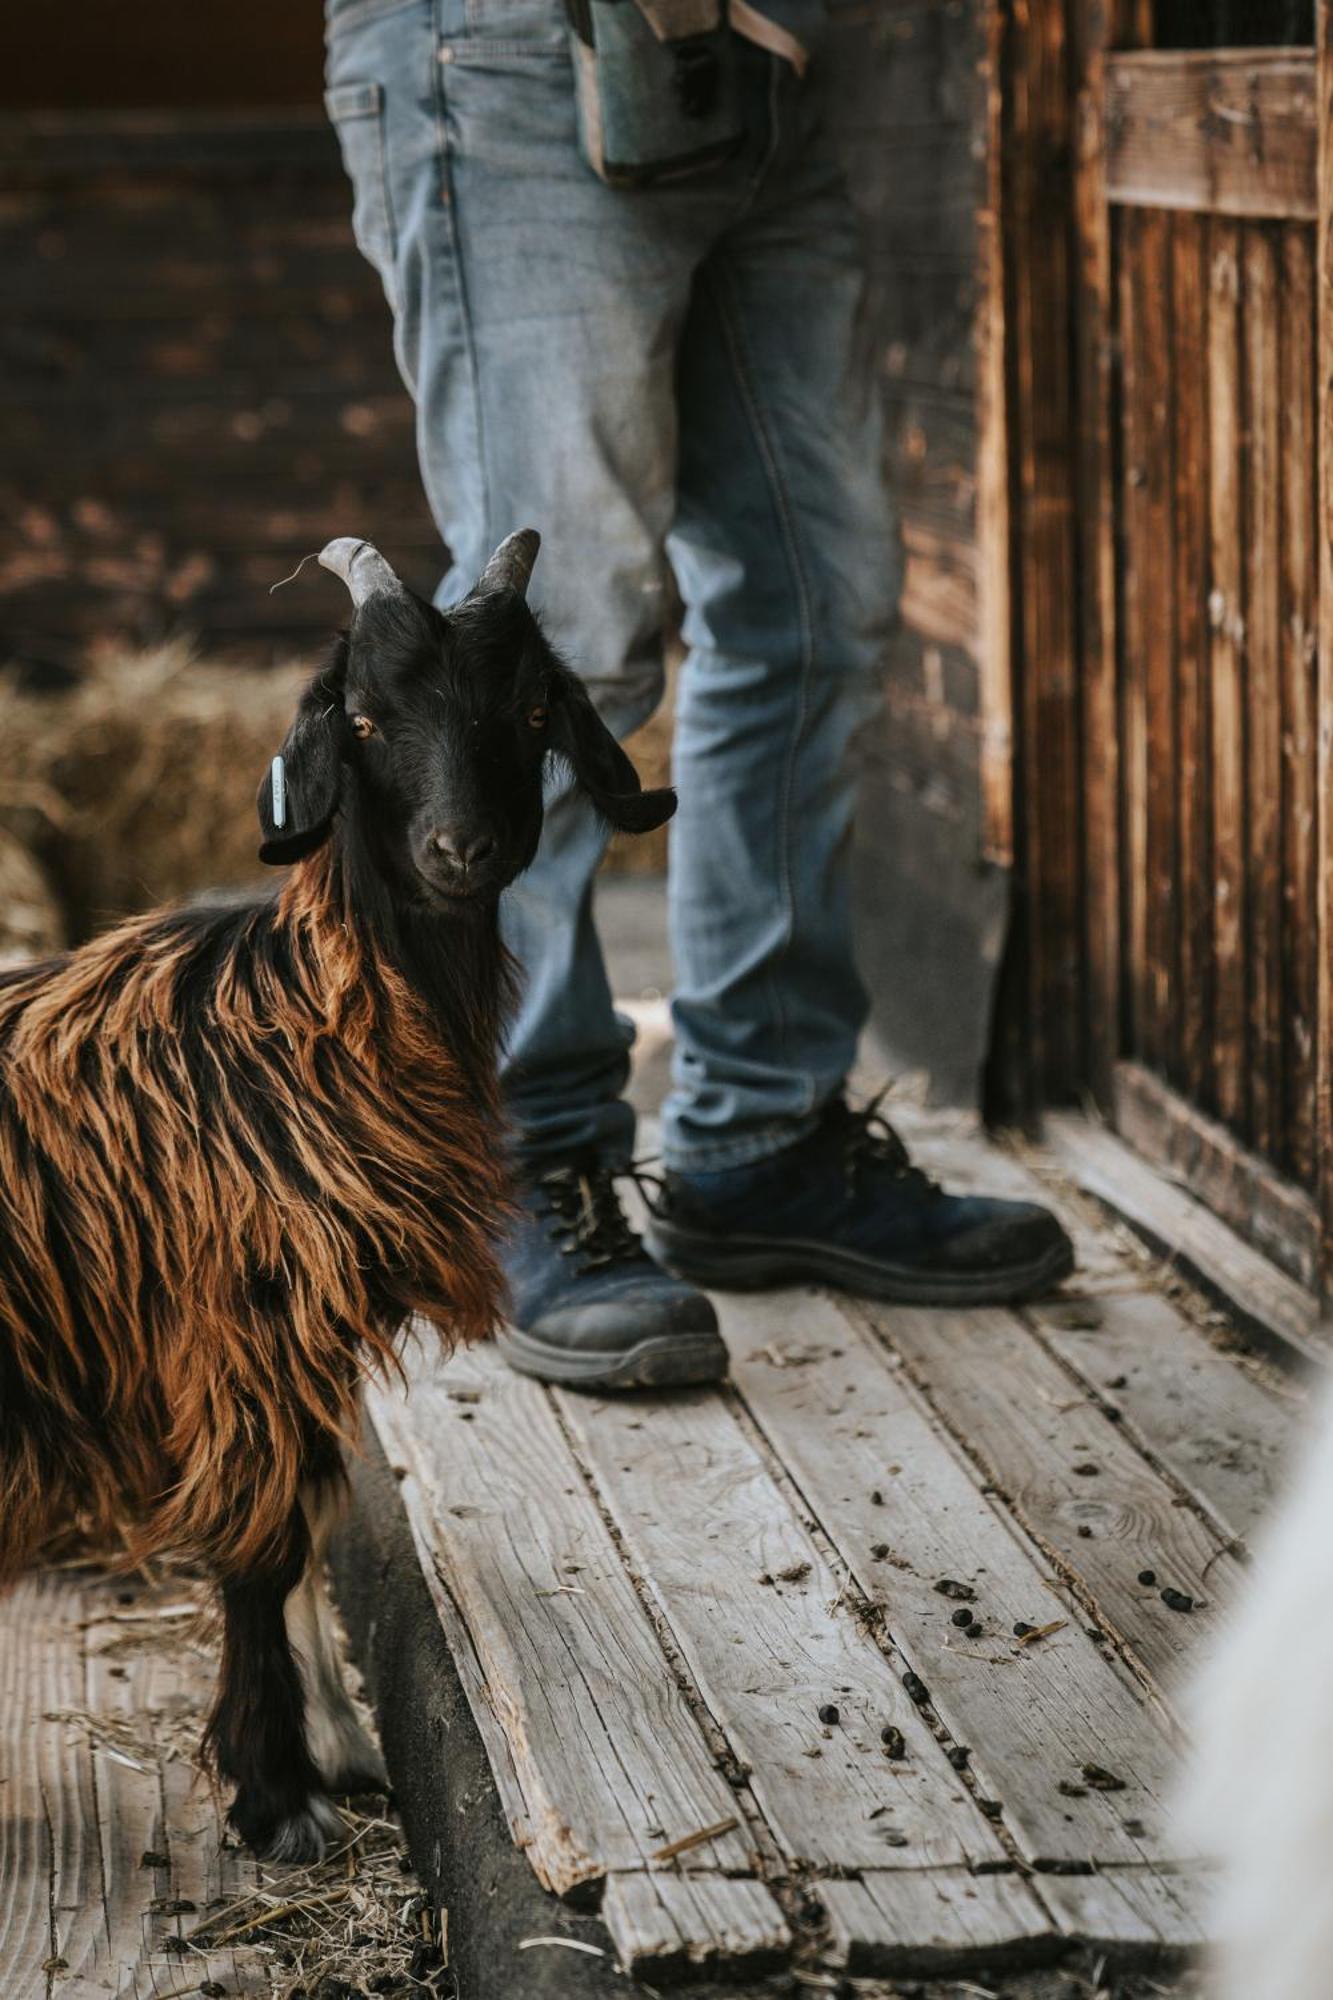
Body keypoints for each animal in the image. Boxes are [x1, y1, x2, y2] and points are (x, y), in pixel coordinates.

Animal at [0, 532, 668, 1856]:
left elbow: (310, 1509)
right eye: (362, 717)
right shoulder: (242, 1320)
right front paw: (271, 1793)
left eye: (530, 708)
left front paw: (340, 1744)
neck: (308, 1017)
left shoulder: (306, 1325)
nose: (461, 849)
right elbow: (261, 1539)